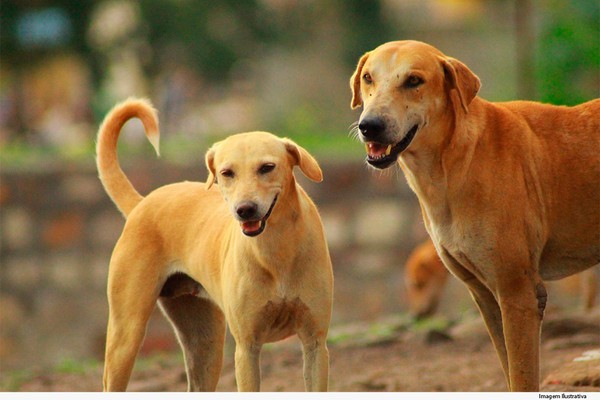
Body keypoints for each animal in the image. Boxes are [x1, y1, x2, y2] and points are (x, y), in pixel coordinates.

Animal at [96, 98, 336, 392]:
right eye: (226, 173)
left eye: (267, 167)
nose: (245, 209)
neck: (275, 251)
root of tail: (142, 203)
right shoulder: (247, 347)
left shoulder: (315, 342)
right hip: (126, 335)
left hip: (205, 343)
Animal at [352, 40, 600, 390]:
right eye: (368, 78)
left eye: (414, 81)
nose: (369, 125)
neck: (455, 163)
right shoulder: (486, 297)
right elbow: (509, 371)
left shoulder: (519, 294)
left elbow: (522, 377)